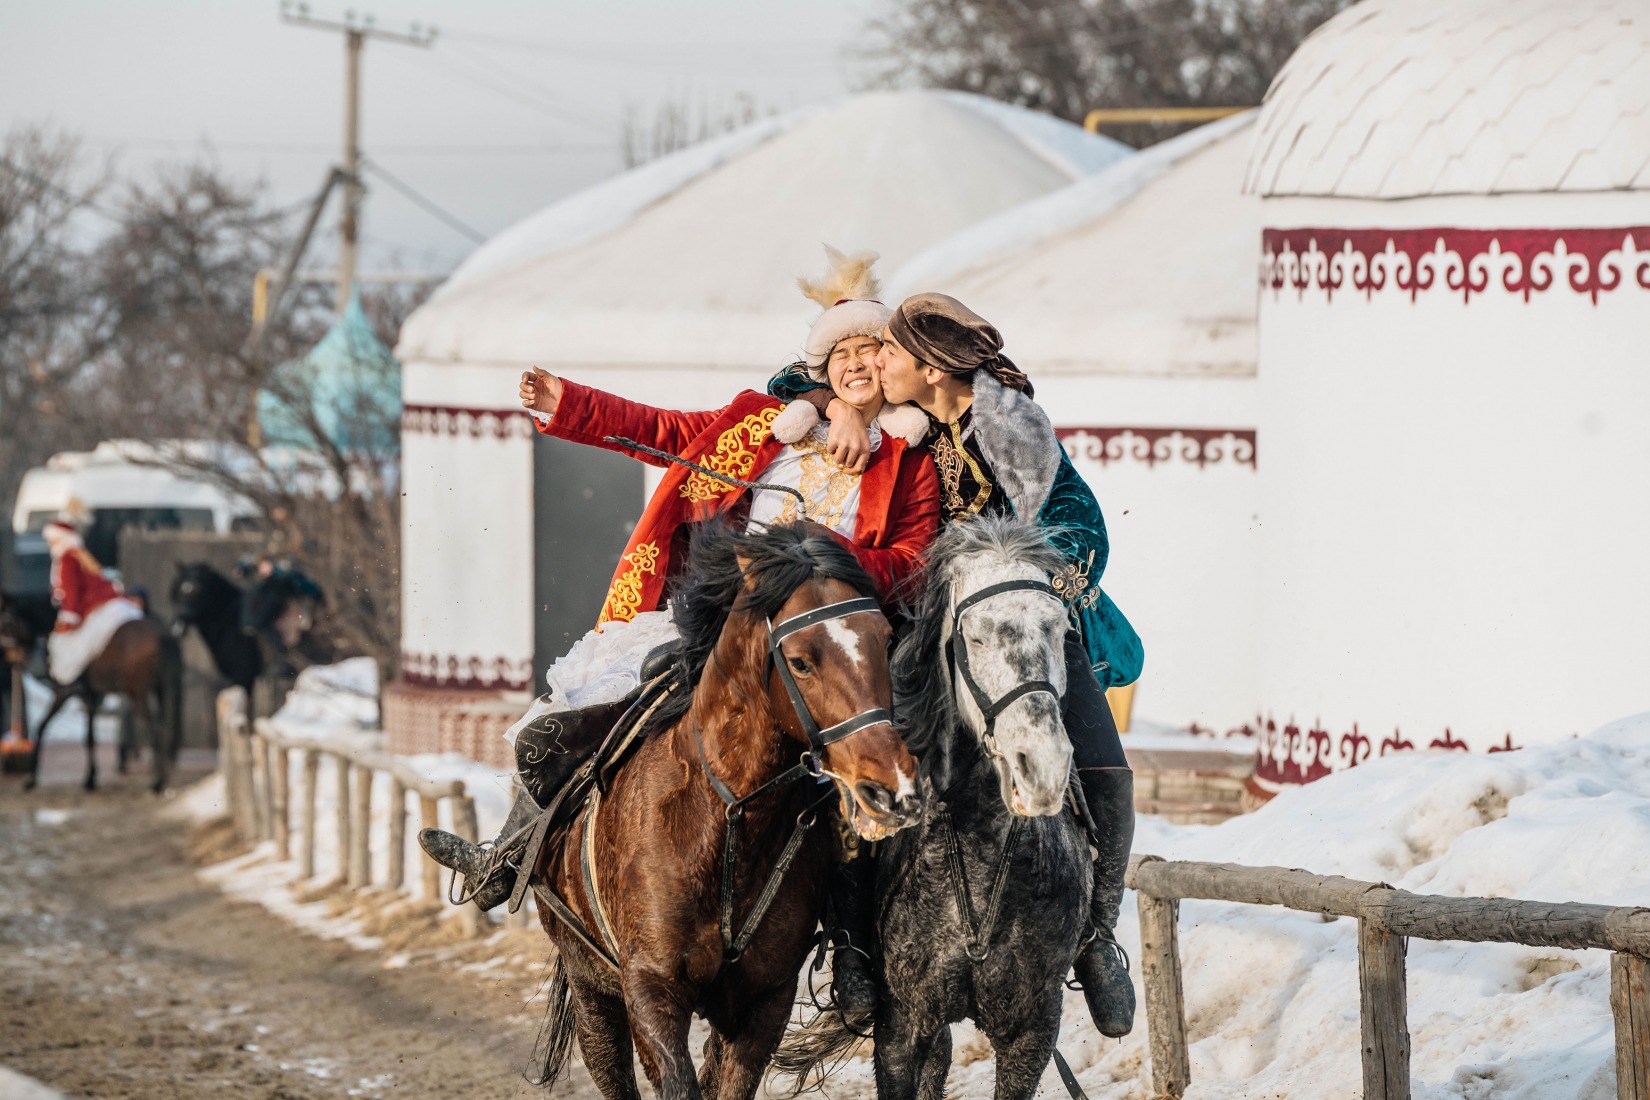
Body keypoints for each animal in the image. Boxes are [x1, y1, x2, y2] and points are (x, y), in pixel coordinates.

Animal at [0, 590, 182, 794]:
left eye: (6, 624)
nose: (12, 660)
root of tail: (163, 635)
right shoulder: (90, 696)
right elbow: (89, 738)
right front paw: (90, 778)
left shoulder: (64, 691)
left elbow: (41, 726)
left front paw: (31, 778)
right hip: (161, 690)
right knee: (165, 729)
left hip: (137, 693)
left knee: (155, 732)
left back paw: (157, 782)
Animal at [534, 524, 930, 1100]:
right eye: (800, 660)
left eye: (882, 638)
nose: (892, 786)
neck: (727, 820)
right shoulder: (649, 989)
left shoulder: (764, 1001)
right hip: (591, 989)